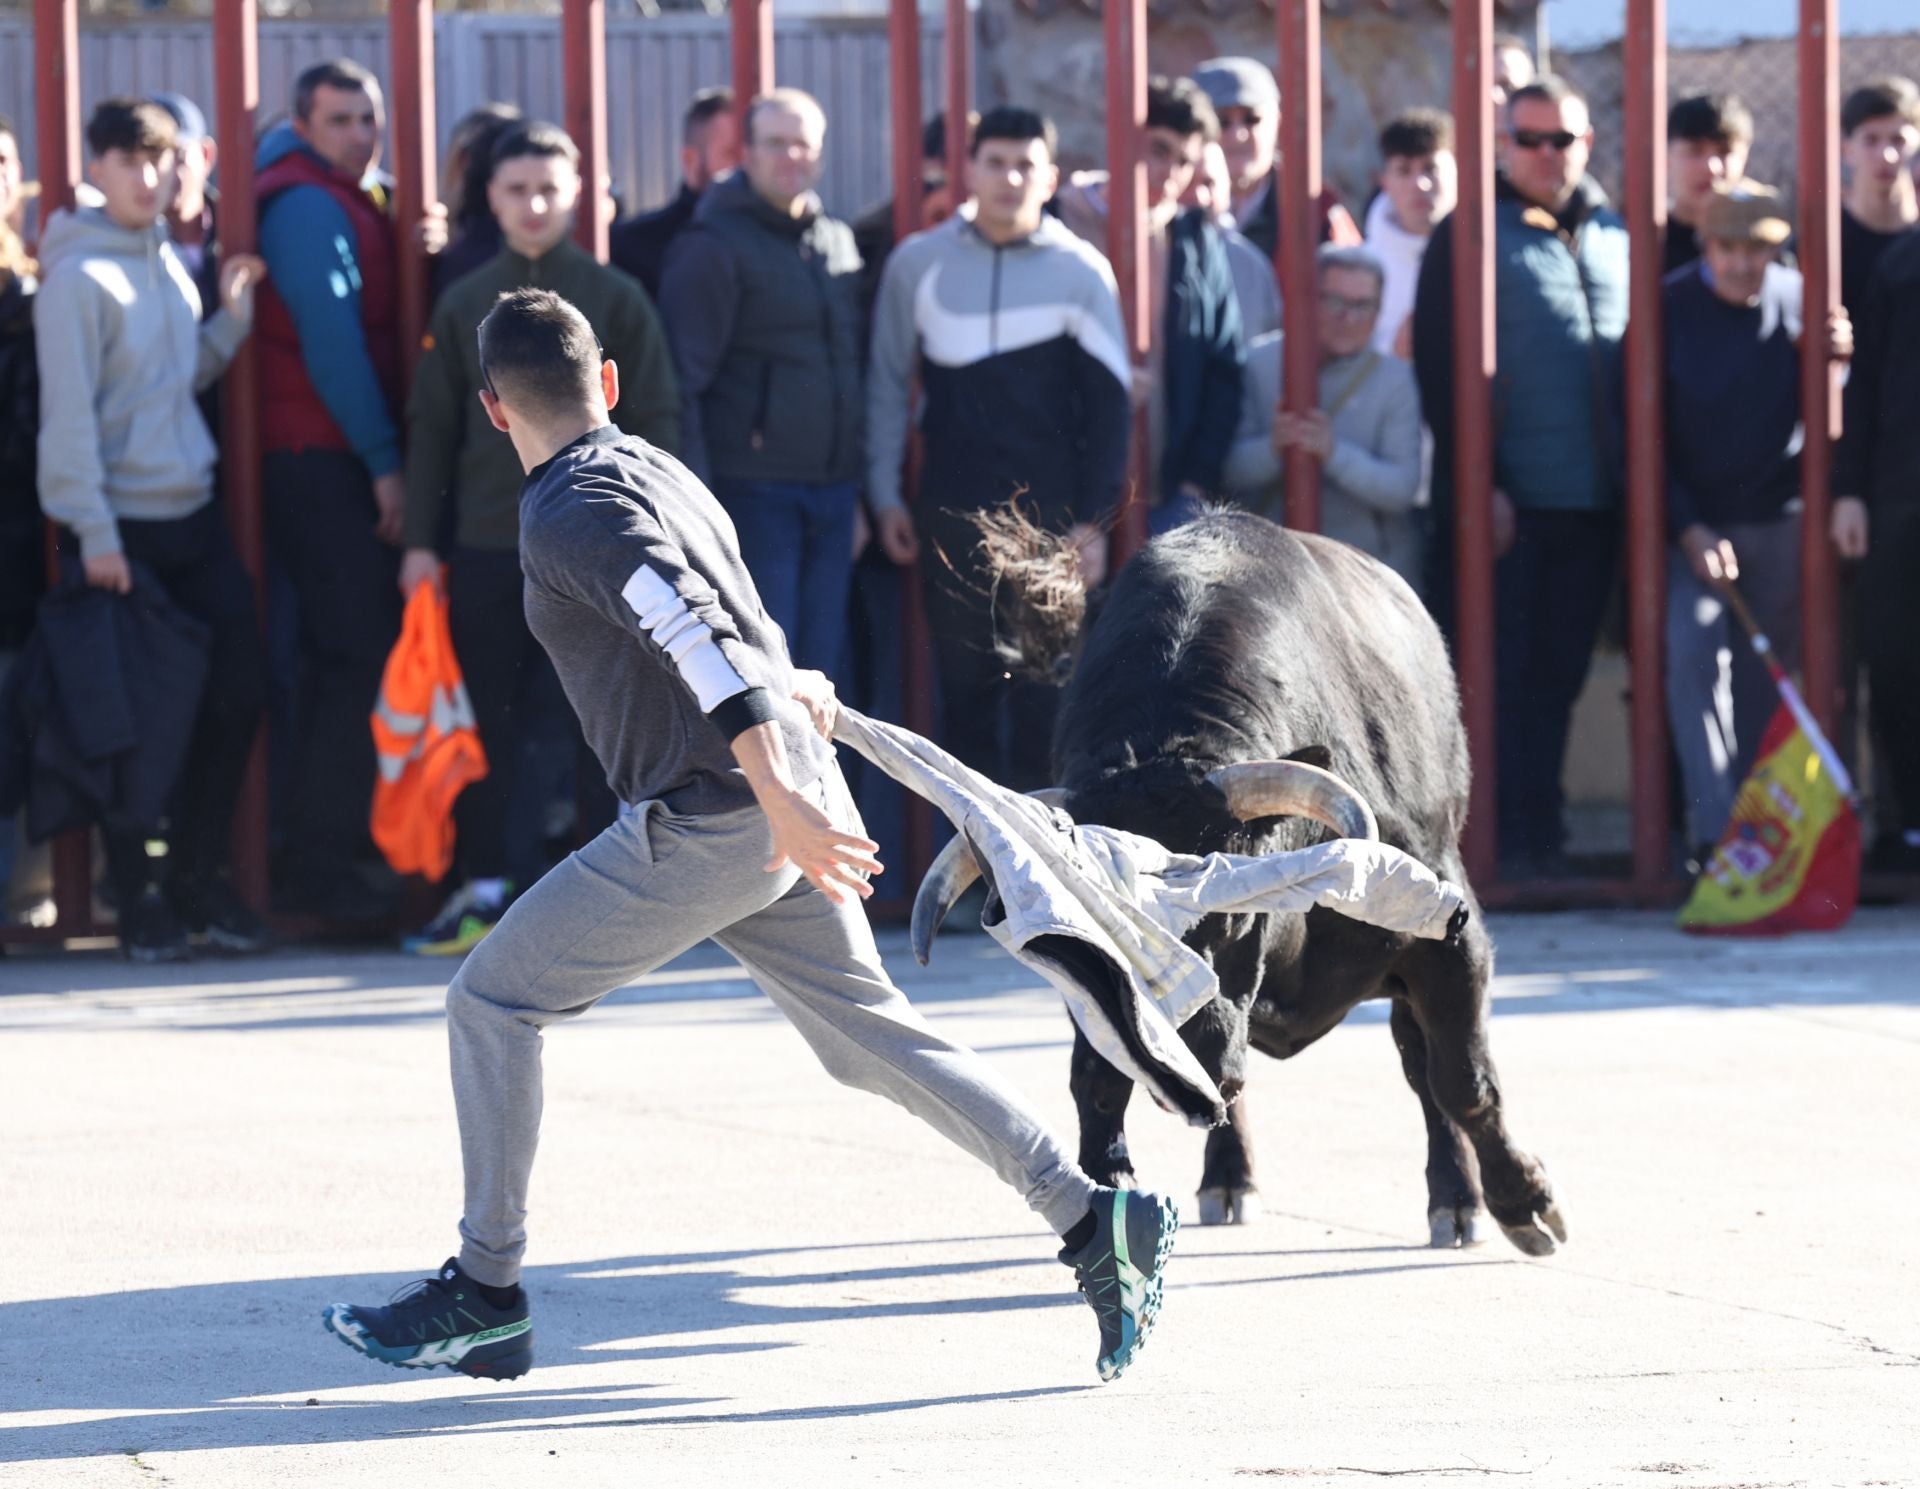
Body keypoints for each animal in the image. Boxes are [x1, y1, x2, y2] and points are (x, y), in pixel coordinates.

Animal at [921, 510, 1566, 1258]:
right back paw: (1230, 1180)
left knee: (1422, 1066)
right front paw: (1109, 1187)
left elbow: (1462, 1080)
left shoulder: (1449, 938)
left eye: (1233, 917)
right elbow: (1098, 1076)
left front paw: (1526, 1204)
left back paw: (1457, 1201)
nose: (1189, 1064)